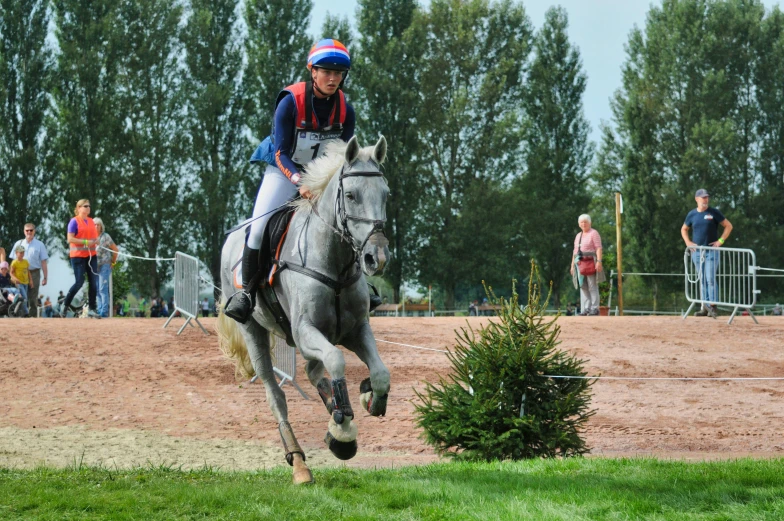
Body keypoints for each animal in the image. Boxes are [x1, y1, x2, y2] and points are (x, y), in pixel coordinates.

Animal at [217, 135, 392, 484]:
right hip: (254, 331)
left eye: (386, 194)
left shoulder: (356, 330)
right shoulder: (305, 330)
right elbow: (337, 361)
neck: (334, 261)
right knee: (276, 395)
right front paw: (342, 434)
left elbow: (380, 373)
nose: (376, 258)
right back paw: (299, 463)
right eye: (350, 195)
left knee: (313, 372)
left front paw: (368, 398)